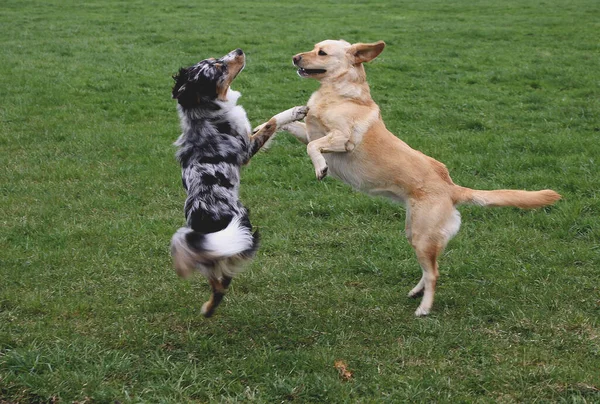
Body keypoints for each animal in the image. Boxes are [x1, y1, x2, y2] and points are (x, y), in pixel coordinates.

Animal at [170, 49, 308, 318]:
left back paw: (207, 310)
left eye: (216, 60)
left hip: (214, 250)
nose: (239, 51)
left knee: (217, 283)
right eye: (218, 67)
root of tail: (205, 223)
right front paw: (296, 111)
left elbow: (265, 125)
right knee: (225, 279)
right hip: (240, 231)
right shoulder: (247, 149)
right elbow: (272, 121)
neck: (204, 115)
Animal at [278, 39, 560, 318]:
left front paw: (321, 168)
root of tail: (452, 189)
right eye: (313, 47)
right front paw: (276, 124)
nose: (294, 58)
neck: (339, 95)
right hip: (415, 232)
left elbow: (313, 147)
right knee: (430, 268)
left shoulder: (343, 139)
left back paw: (424, 308)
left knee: (434, 273)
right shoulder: (309, 132)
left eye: (321, 52)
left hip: (423, 236)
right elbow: (291, 128)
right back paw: (416, 292)